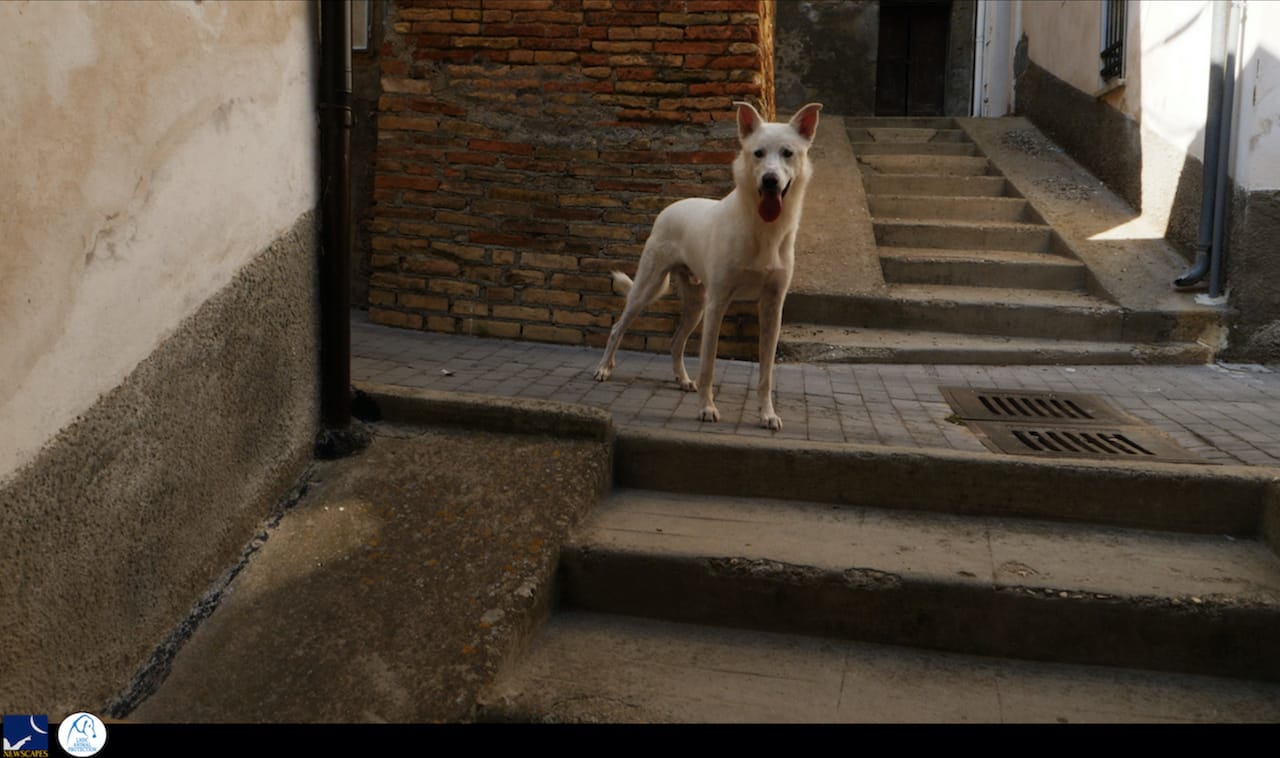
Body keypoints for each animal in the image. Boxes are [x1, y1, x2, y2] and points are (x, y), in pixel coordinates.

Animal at [588, 100, 819, 430]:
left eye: (788, 153)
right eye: (758, 153)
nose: (770, 181)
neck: (762, 229)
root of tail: (670, 208)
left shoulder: (772, 307)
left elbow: (766, 371)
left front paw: (767, 414)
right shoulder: (718, 303)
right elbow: (708, 364)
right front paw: (707, 409)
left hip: (696, 303)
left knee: (676, 342)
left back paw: (683, 379)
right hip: (648, 289)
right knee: (618, 327)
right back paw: (604, 368)